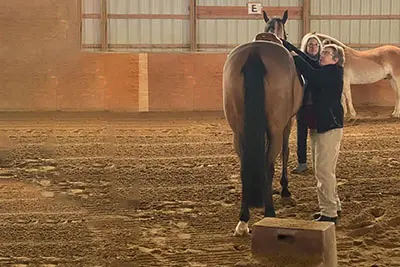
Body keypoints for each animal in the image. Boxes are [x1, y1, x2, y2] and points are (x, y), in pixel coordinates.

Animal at [222, 10, 304, 237]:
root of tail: (255, 54)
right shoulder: (288, 123)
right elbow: (285, 152)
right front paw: (285, 190)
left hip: (238, 132)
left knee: (244, 167)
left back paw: (243, 220)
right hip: (275, 129)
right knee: (269, 163)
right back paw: (270, 213)